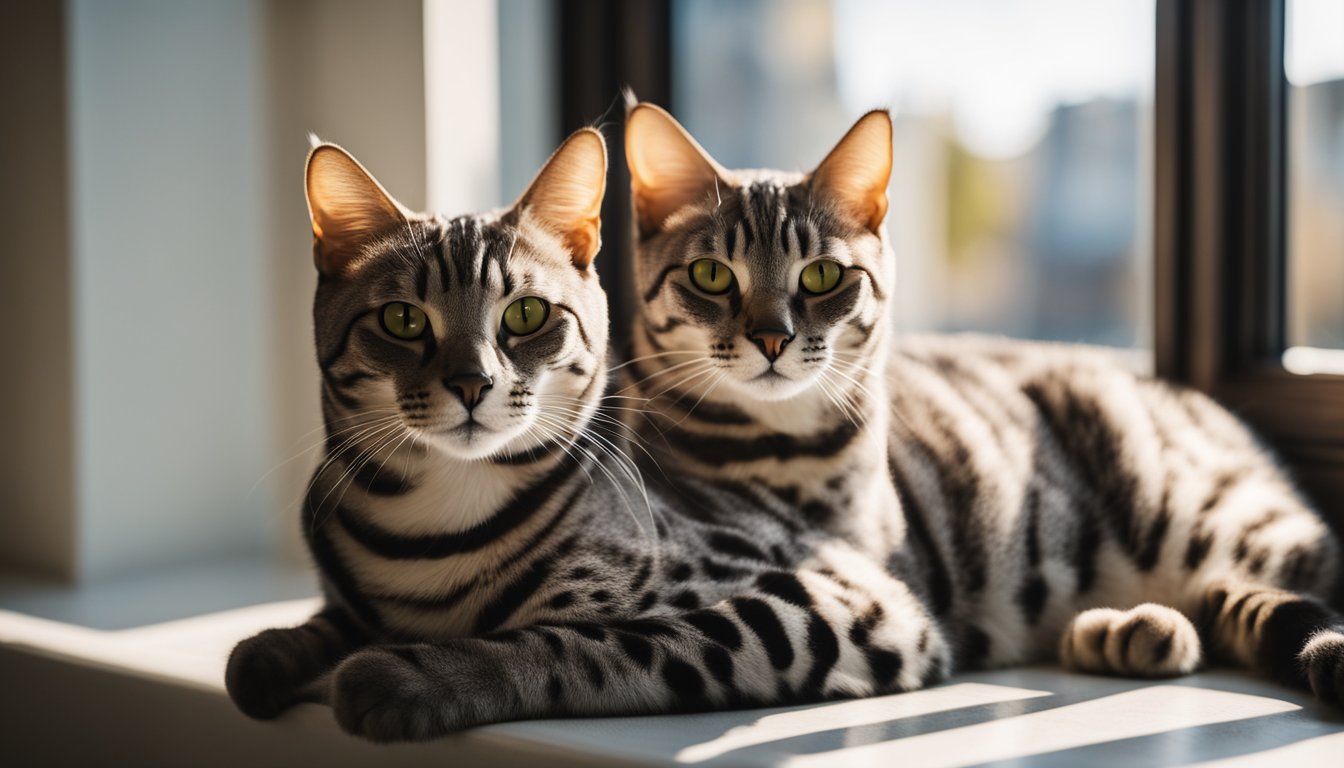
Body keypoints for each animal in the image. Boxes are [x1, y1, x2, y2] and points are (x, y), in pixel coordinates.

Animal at [228, 127, 956, 747]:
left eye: (525, 314)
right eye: (403, 320)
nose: (472, 382)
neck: (435, 531)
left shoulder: (838, 601)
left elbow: (581, 642)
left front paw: (411, 674)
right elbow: (319, 625)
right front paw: (270, 651)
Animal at [620, 100, 1344, 704]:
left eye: (822, 275)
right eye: (711, 275)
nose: (773, 338)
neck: (784, 451)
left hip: (1204, 512)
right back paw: (1131, 631)